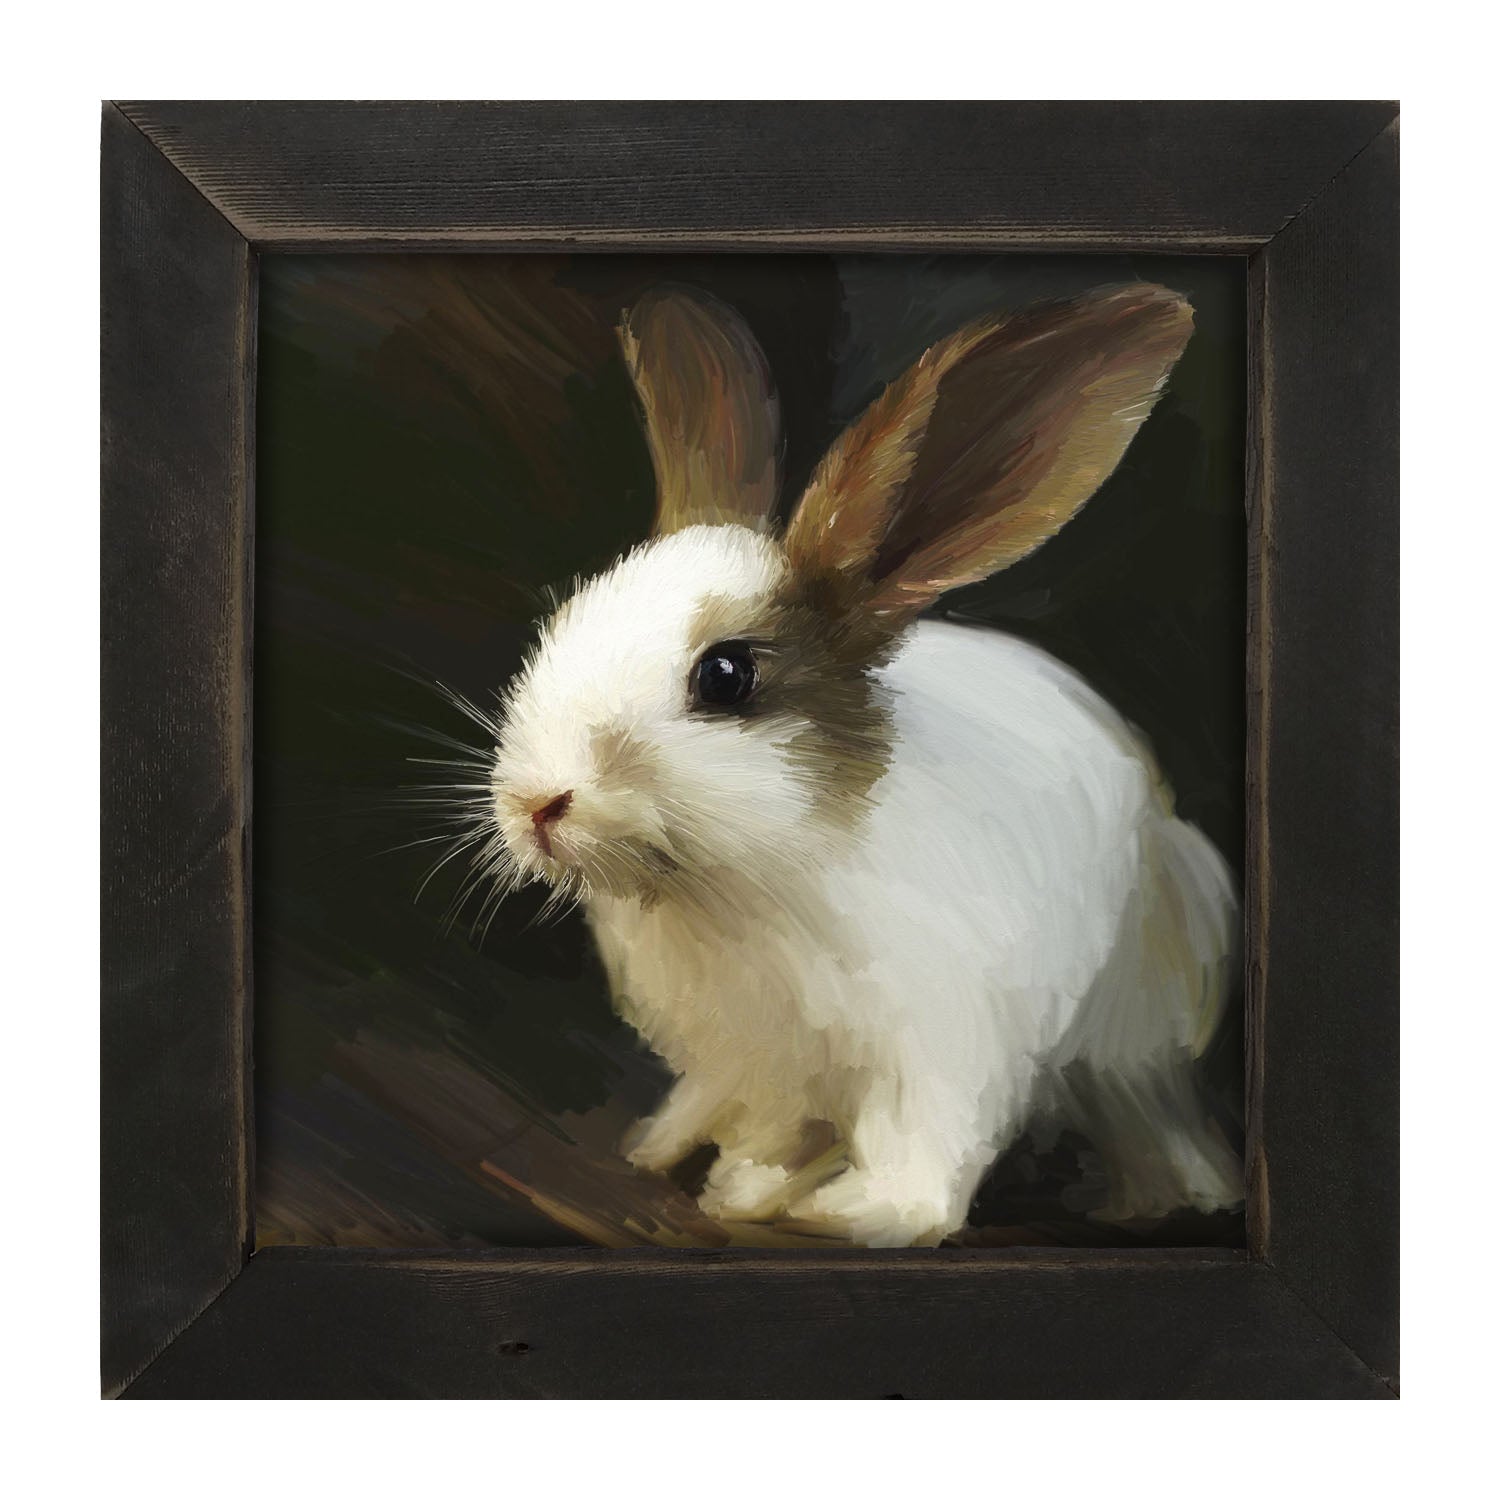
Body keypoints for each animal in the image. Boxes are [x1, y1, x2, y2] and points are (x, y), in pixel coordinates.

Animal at [480, 282, 1244, 1247]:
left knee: (1146, 1113)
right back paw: (663, 1145)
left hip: (1136, 1031)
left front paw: (851, 1214)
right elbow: (770, 1130)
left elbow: (922, 1158)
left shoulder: (940, 1049)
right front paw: (741, 1188)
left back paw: (1163, 1199)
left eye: (726, 676)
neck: (740, 884)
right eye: (566, 617)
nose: (536, 804)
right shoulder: (756, 1063)